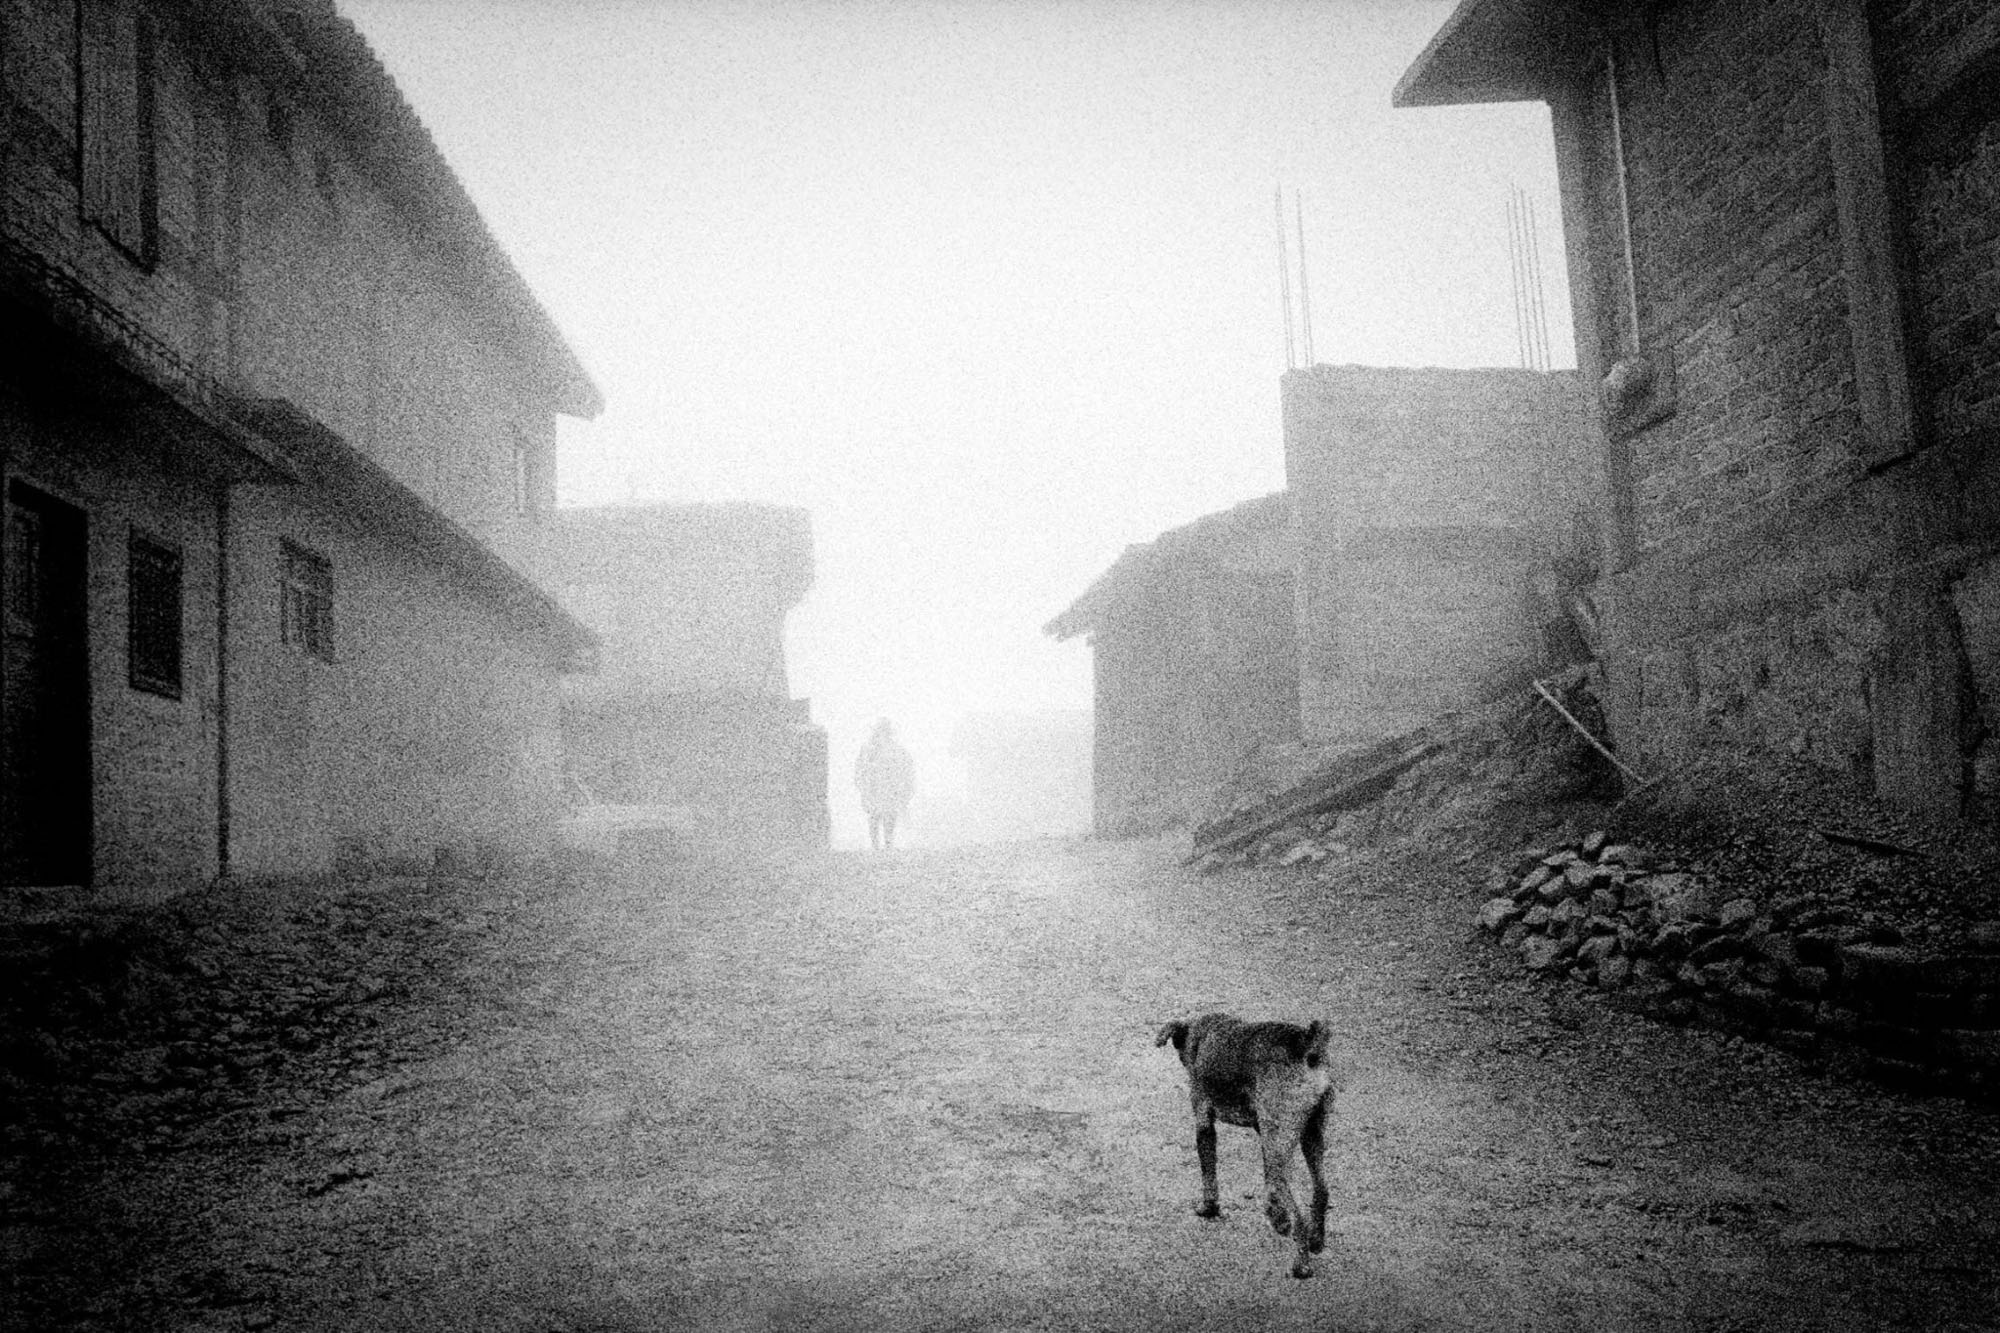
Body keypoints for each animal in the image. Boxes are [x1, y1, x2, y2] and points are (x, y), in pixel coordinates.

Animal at [1152, 1012, 1336, 1272]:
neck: (1201, 1033)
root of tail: (1306, 1043)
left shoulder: (1204, 1121)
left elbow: (1209, 1174)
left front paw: (1209, 1208)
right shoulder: (1262, 1132)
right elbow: (1267, 1181)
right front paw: (1275, 1213)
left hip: (1280, 1144)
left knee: (1296, 1209)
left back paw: (1299, 1259)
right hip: (1309, 1136)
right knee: (1320, 1190)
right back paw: (1314, 1241)